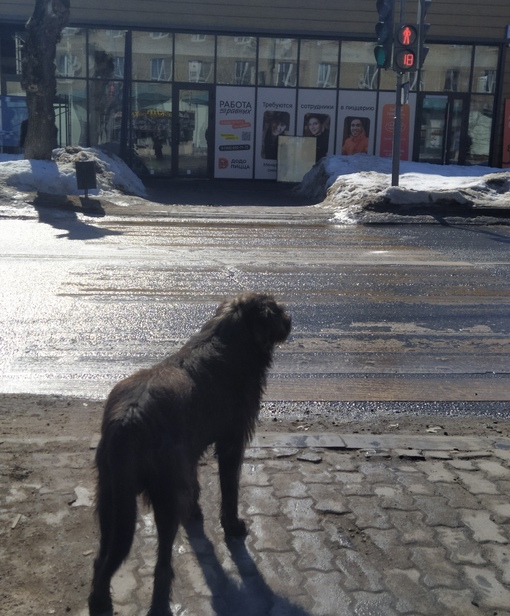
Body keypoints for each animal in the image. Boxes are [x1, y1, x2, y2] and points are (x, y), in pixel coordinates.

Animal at [85, 292, 288, 616]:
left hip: (111, 498)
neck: (230, 337)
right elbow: (230, 489)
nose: (290, 321)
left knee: (102, 557)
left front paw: (195, 512)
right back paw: (159, 603)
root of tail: (128, 420)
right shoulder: (231, 443)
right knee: (162, 562)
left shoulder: (189, 455)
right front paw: (233, 526)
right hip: (164, 495)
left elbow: (194, 482)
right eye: (277, 311)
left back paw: (101, 601)